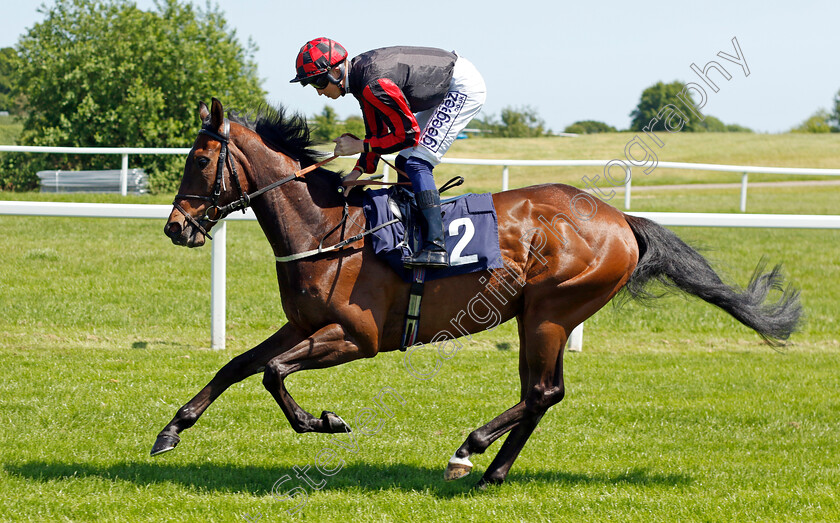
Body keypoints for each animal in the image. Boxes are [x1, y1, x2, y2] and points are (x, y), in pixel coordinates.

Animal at [154, 99, 804, 492]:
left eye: (201, 160)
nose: (176, 228)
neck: (325, 229)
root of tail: (621, 219)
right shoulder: (305, 324)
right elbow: (240, 365)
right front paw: (172, 429)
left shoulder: (357, 337)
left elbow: (273, 374)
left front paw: (325, 421)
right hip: (539, 315)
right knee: (544, 394)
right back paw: (494, 470)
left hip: (549, 311)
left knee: (542, 391)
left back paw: (470, 450)